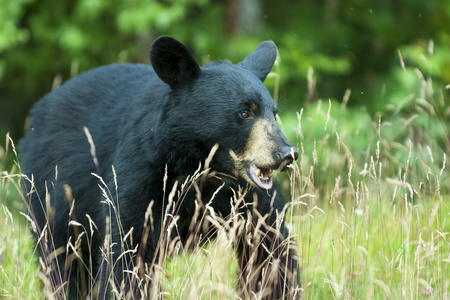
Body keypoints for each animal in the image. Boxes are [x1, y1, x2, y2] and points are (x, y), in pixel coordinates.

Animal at [22, 36, 302, 298]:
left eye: (274, 113)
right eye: (244, 113)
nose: (286, 153)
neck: (202, 167)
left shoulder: (247, 195)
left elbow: (269, 246)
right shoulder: (143, 173)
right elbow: (130, 247)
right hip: (53, 191)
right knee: (63, 259)